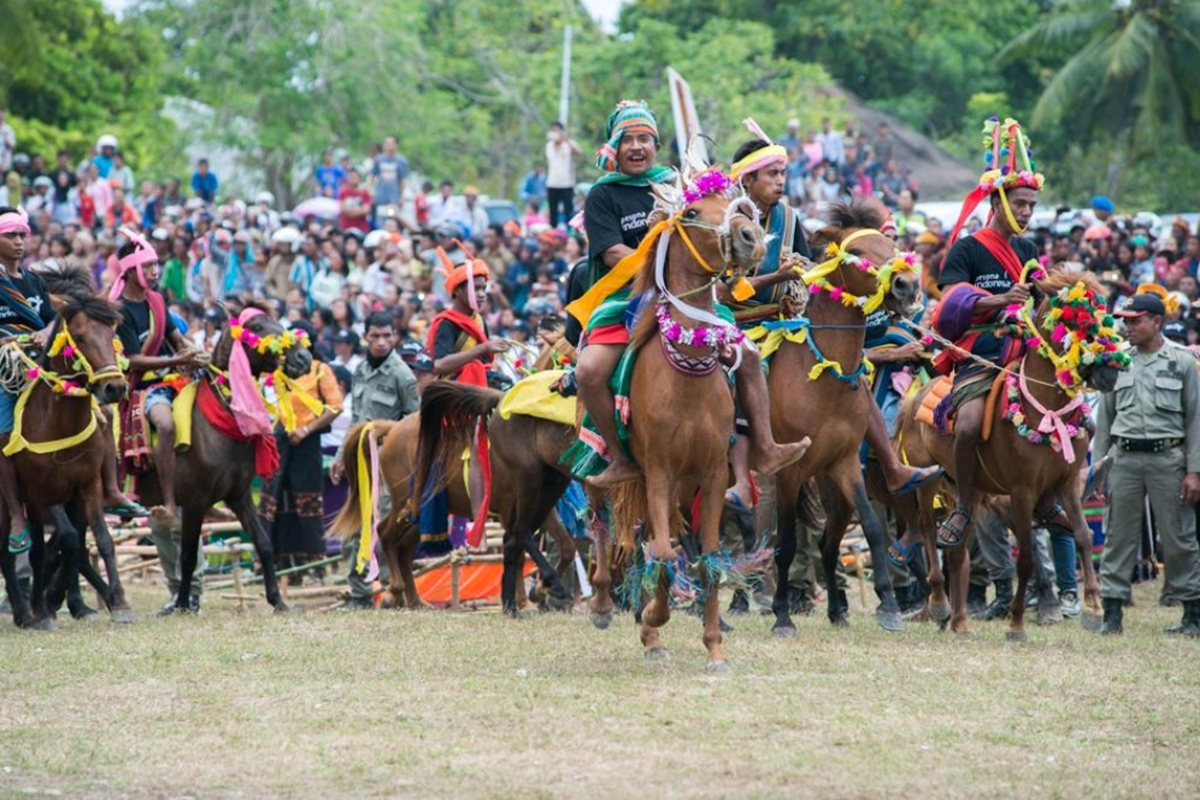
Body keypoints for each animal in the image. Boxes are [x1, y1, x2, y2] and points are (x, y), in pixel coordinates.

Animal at [0, 289, 129, 633]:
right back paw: (25, 611)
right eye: (80, 337)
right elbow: (52, 546)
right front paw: (42, 610)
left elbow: (100, 539)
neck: (57, 422)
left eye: (111, 333)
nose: (114, 387)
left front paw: (118, 603)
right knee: (10, 550)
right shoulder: (38, 494)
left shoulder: (87, 485)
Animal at [136, 309, 314, 614]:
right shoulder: (194, 502)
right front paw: (183, 605)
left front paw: (278, 600)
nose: (303, 357)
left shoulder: (239, 495)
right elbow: (188, 556)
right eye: (256, 326)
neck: (218, 425)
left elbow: (264, 544)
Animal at [763, 201, 921, 638]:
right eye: (860, 252)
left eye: (891, 245)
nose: (907, 286)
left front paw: (888, 606)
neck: (821, 374)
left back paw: (838, 609)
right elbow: (784, 543)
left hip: (831, 491)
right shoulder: (789, 472)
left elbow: (874, 529)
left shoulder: (845, 464)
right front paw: (782, 616)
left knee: (830, 544)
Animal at [892, 272, 1113, 642]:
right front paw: (1016, 623)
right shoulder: (1022, 491)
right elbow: (1025, 560)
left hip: (971, 486)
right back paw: (939, 603)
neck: (1045, 410)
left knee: (959, 547)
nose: (1108, 372)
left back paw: (960, 622)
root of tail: (914, 397)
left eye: (1102, 316)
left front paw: (1095, 610)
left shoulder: (1067, 482)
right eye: (1072, 320)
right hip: (927, 475)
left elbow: (1082, 536)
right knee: (926, 530)